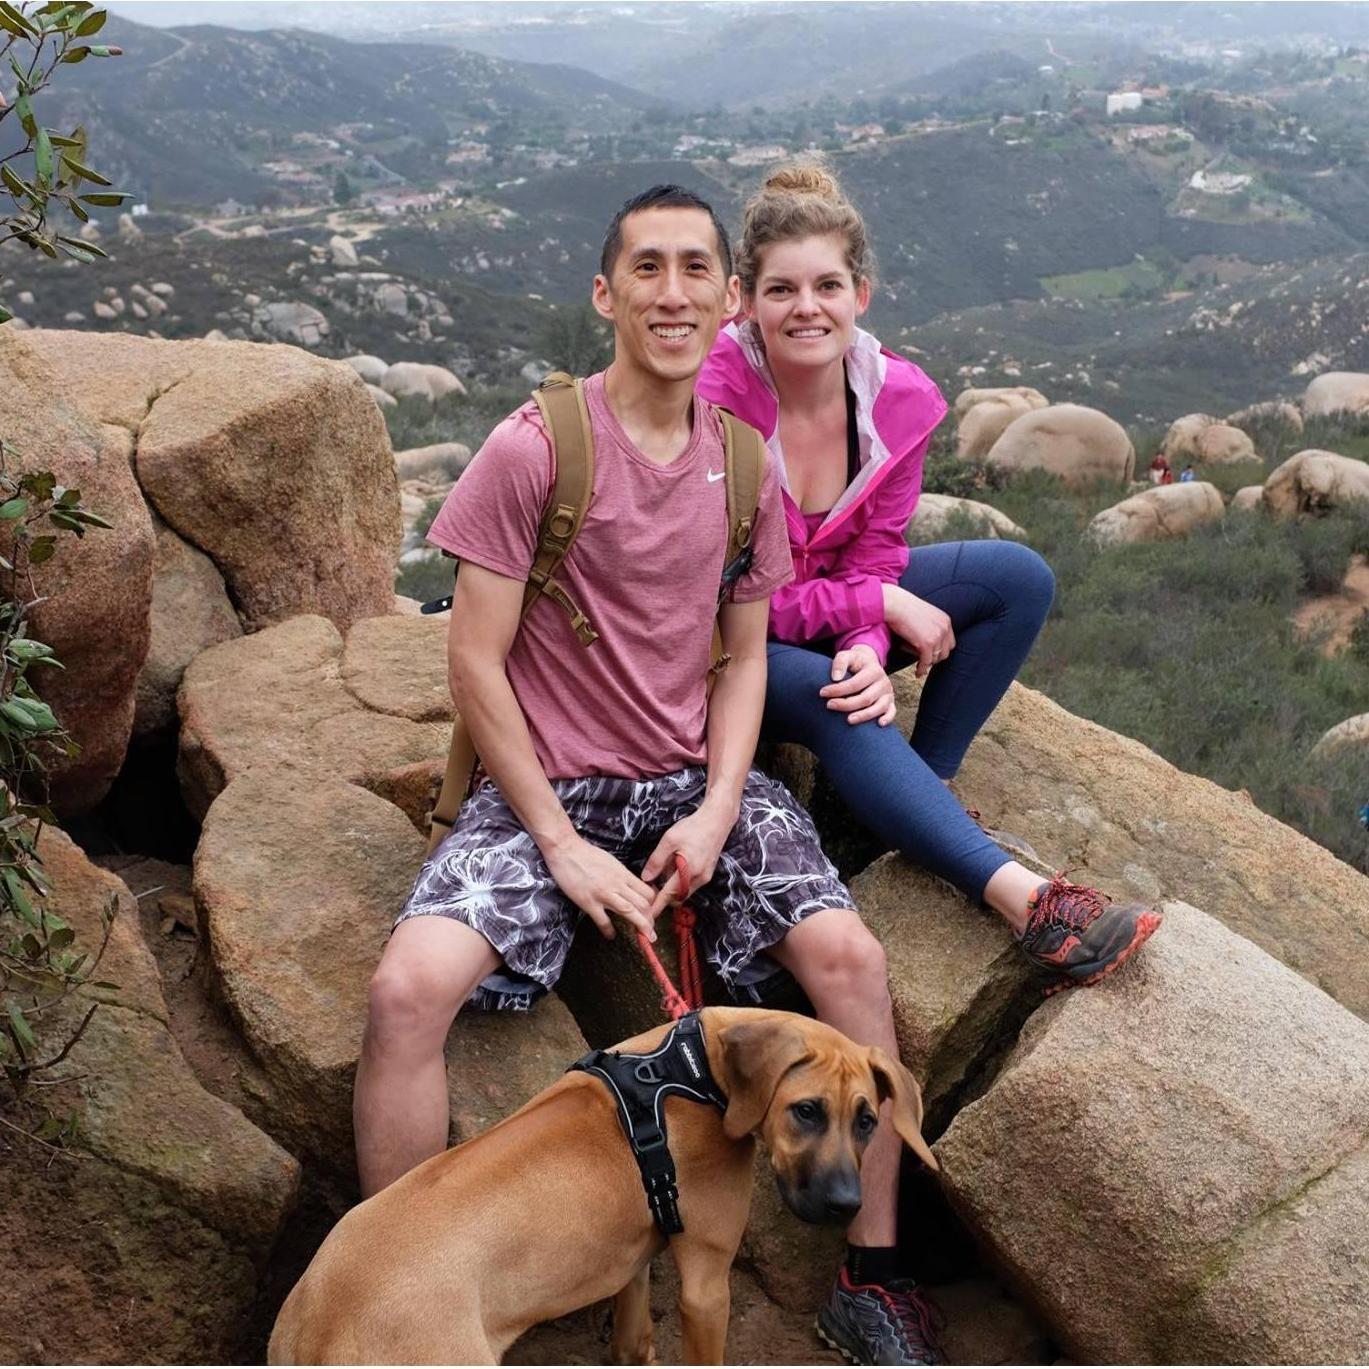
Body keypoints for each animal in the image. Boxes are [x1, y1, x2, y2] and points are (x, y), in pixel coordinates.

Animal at [269, 1002, 930, 1363]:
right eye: (807, 1111)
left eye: (867, 1121)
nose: (847, 1204)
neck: (694, 1067)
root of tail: (317, 1323)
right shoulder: (706, 1288)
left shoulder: (630, 1259)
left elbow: (634, 1341)